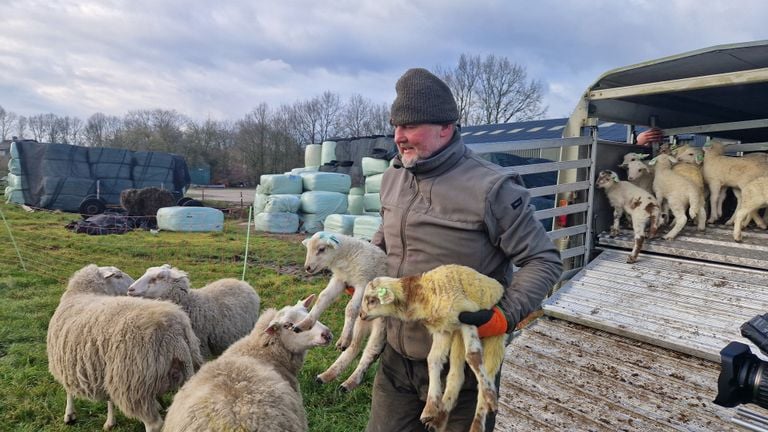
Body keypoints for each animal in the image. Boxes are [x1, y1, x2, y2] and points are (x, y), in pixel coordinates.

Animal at [358, 264, 508, 432]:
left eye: (372, 300)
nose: (361, 315)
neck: (423, 292)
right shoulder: (443, 329)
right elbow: (433, 360)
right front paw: (430, 407)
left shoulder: (467, 315)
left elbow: (473, 356)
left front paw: (491, 397)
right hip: (456, 337)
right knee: (456, 375)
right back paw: (440, 417)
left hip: (495, 338)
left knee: (485, 373)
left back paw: (480, 416)